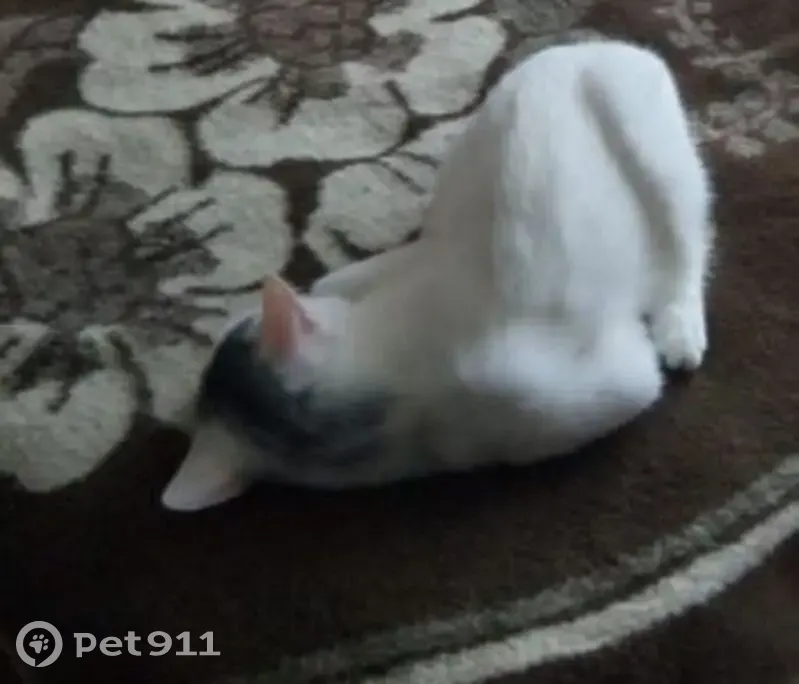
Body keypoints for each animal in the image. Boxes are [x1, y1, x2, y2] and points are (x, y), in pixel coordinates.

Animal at [161, 39, 713, 511]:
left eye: (238, 326)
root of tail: (591, 45)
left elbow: (333, 281)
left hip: (649, 147)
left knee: (689, 243)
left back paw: (680, 330)